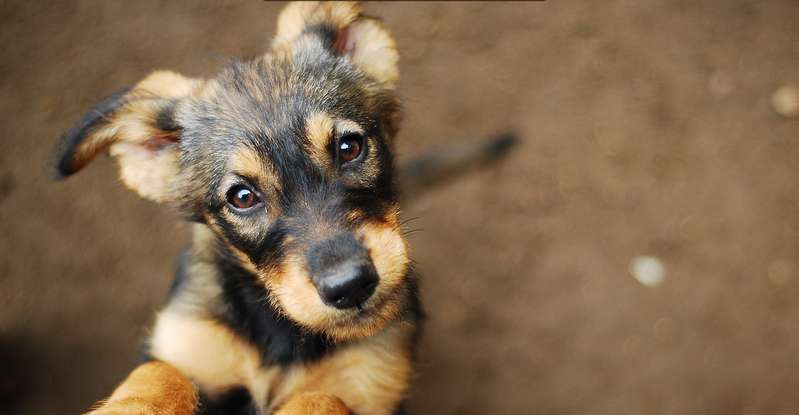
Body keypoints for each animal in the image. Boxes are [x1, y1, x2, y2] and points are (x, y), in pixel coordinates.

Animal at [56, 1, 520, 414]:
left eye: (349, 147)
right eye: (242, 197)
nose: (350, 286)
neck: (282, 333)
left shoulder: (369, 383)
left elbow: (323, 398)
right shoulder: (188, 342)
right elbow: (159, 372)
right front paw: (131, 407)